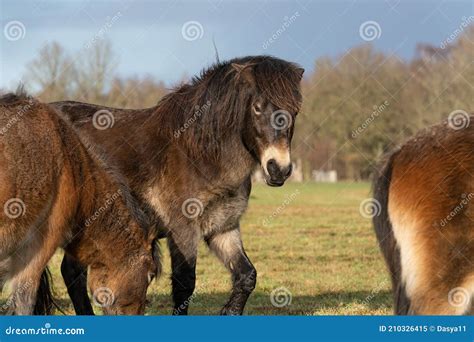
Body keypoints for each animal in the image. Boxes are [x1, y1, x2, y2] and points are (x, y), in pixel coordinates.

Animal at [51, 56, 304, 316]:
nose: (279, 169)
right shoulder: (182, 230)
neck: (198, 153)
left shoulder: (223, 227)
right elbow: (185, 283)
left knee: (71, 272)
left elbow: (247, 275)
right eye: (257, 107)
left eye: (295, 110)